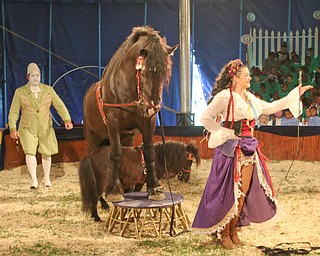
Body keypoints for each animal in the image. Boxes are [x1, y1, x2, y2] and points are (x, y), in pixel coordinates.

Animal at [83, 26, 178, 202]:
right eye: (146, 71)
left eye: (165, 73)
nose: (153, 107)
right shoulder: (113, 124)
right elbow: (115, 154)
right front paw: (114, 190)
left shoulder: (148, 123)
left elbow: (149, 152)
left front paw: (154, 188)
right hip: (93, 139)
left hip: (127, 138)